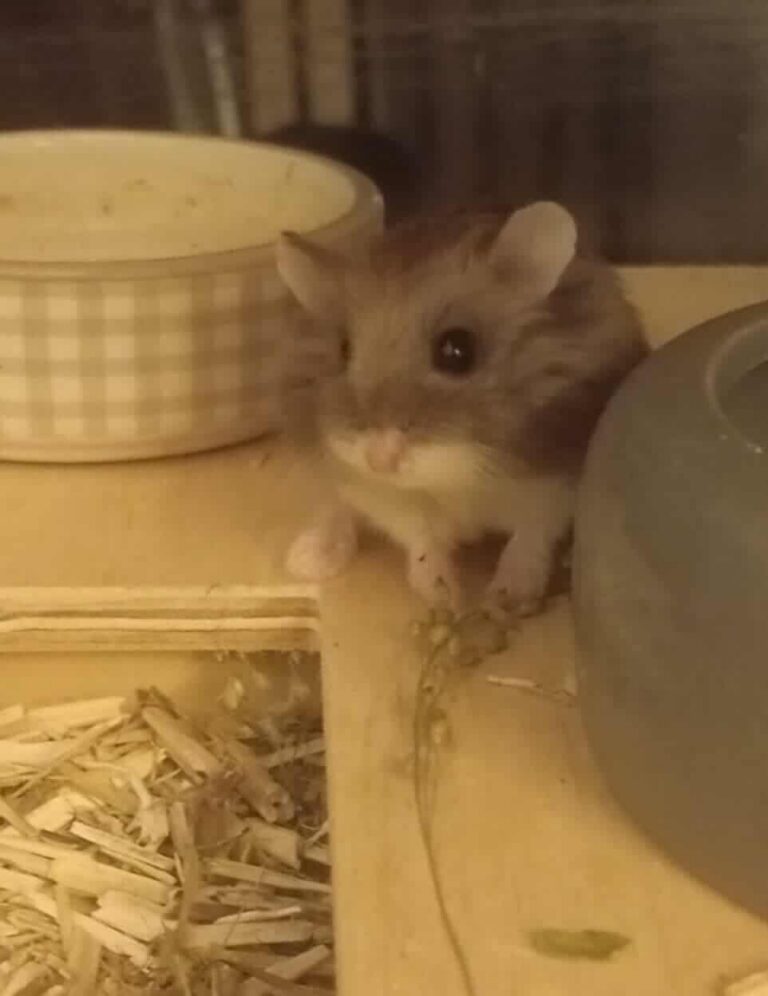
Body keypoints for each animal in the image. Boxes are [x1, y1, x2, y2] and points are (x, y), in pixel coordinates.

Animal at [275, 201, 647, 613]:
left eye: (457, 350)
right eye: (343, 350)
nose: (379, 461)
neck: (459, 478)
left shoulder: (553, 483)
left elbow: (531, 536)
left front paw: (507, 599)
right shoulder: (384, 494)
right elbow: (422, 540)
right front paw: (445, 598)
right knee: (334, 511)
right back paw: (307, 560)